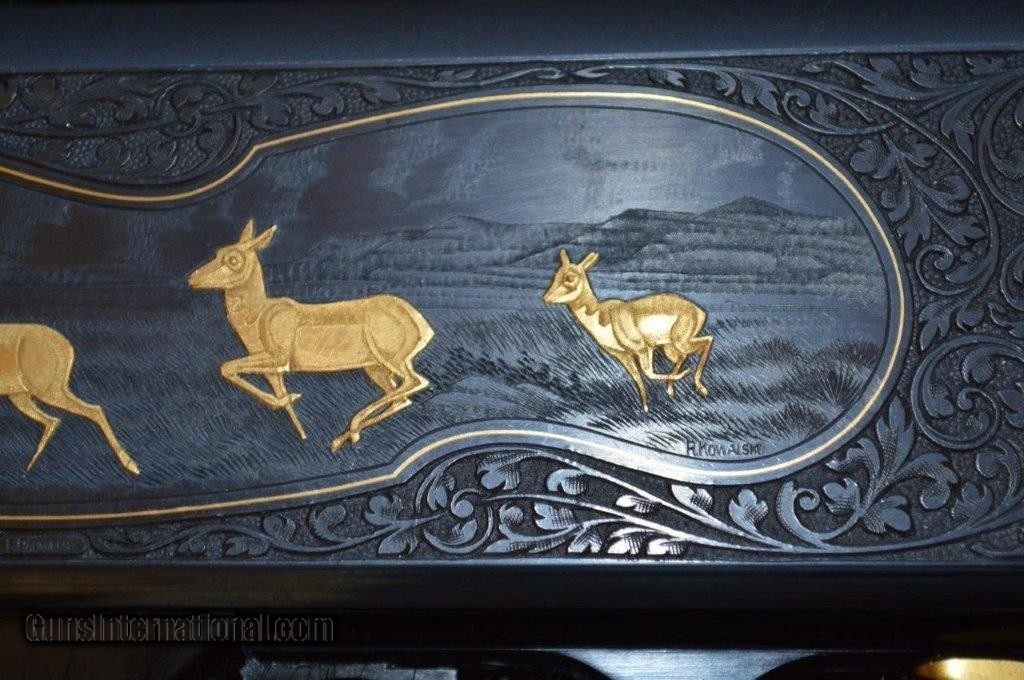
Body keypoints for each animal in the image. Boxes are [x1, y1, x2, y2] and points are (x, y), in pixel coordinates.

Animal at [0, 324, 139, 475]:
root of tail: (68, 348)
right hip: (22, 395)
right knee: (53, 421)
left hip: (46, 391)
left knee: (93, 410)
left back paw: (130, 464)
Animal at [188, 220, 435, 451]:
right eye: (217, 253)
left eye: (233, 260)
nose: (192, 279)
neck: (258, 316)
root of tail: (423, 326)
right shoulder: (270, 366)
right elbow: (239, 372)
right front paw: (290, 409)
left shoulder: (279, 357)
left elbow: (227, 367)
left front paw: (290, 399)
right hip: (374, 367)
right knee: (401, 399)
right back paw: (346, 436)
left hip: (391, 358)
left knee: (415, 382)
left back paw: (350, 430)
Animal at [543, 250, 713, 412]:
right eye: (556, 274)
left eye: (569, 277)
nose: (545, 298)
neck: (602, 314)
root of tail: (700, 311)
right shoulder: (623, 356)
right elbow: (638, 377)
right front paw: (645, 408)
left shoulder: (643, 348)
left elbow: (648, 373)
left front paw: (684, 375)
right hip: (669, 348)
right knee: (683, 355)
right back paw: (671, 390)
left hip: (680, 341)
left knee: (708, 340)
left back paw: (700, 388)